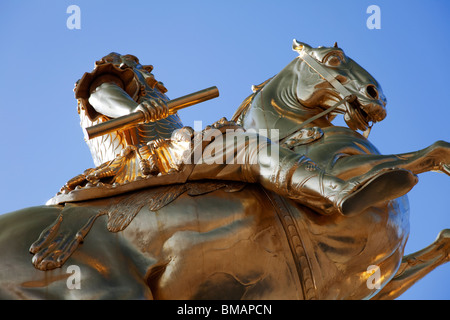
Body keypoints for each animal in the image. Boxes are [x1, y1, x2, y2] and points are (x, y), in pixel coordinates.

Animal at [0, 41, 448, 298]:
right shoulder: (350, 169)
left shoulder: (371, 284)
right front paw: (363, 189)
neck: (292, 132)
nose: (377, 96)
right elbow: (406, 161)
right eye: (333, 59)